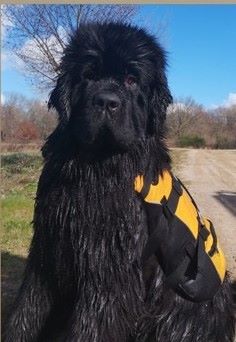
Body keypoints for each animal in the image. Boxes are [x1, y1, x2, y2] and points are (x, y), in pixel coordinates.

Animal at [4, 22, 235, 342]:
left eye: (131, 80)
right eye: (88, 75)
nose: (106, 102)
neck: (94, 167)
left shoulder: (108, 273)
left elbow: (91, 325)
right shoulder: (47, 249)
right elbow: (26, 310)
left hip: (184, 306)